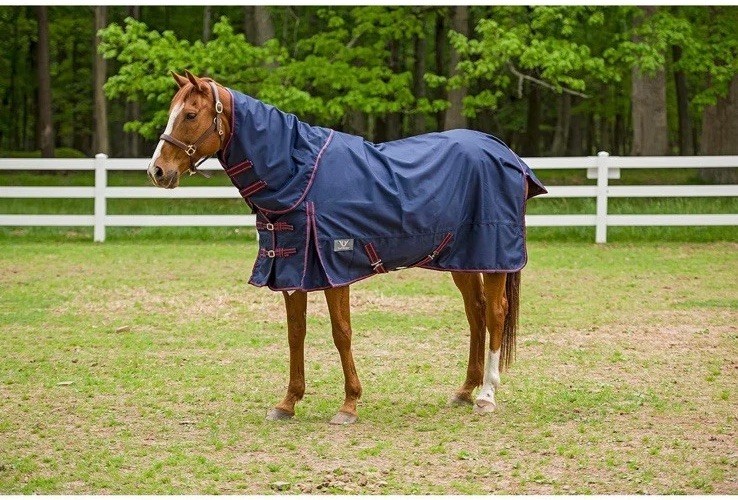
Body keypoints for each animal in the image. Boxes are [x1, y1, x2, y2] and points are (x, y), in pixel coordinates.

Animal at [147, 70, 546, 425]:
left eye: (190, 114)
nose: (157, 171)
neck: (299, 176)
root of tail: (507, 154)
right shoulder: (292, 271)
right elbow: (296, 334)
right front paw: (288, 402)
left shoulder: (333, 269)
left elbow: (342, 333)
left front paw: (349, 405)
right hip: (461, 258)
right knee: (475, 312)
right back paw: (464, 391)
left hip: (494, 257)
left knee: (495, 313)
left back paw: (486, 396)